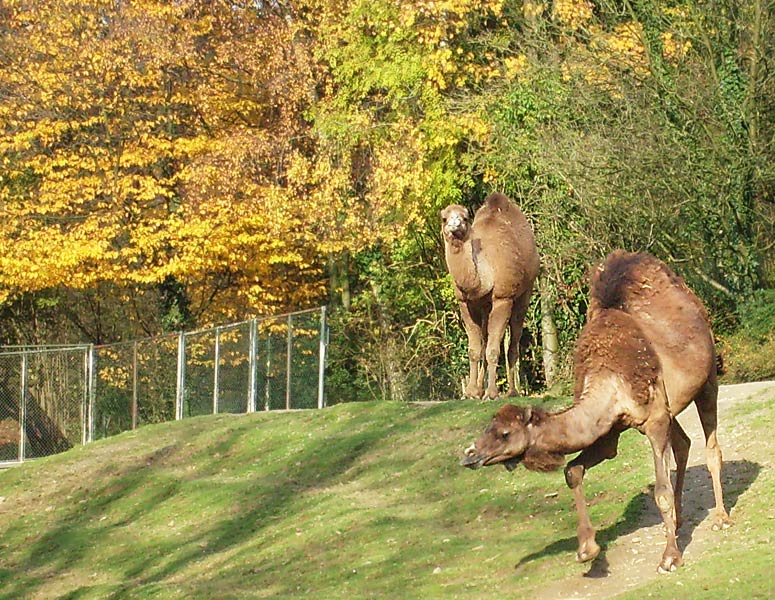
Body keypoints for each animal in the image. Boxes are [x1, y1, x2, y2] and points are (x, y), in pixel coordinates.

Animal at [442, 192, 540, 398]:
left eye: (465, 217)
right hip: (486, 308)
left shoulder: (503, 298)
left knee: (513, 340)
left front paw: (492, 393)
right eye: (444, 218)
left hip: (525, 292)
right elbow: (474, 349)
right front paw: (471, 392)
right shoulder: (465, 302)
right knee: (487, 338)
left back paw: (512, 391)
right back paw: (481, 388)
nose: (455, 224)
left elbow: (494, 350)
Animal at [460, 251, 732, 576]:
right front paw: (587, 550)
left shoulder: (653, 420)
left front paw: (669, 558)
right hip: (671, 405)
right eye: (486, 429)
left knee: (711, 445)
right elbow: (573, 470)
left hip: (707, 379)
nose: (470, 455)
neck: (609, 376)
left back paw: (721, 518)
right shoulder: (610, 430)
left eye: (503, 433)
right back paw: (679, 520)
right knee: (683, 443)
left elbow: (661, 492)